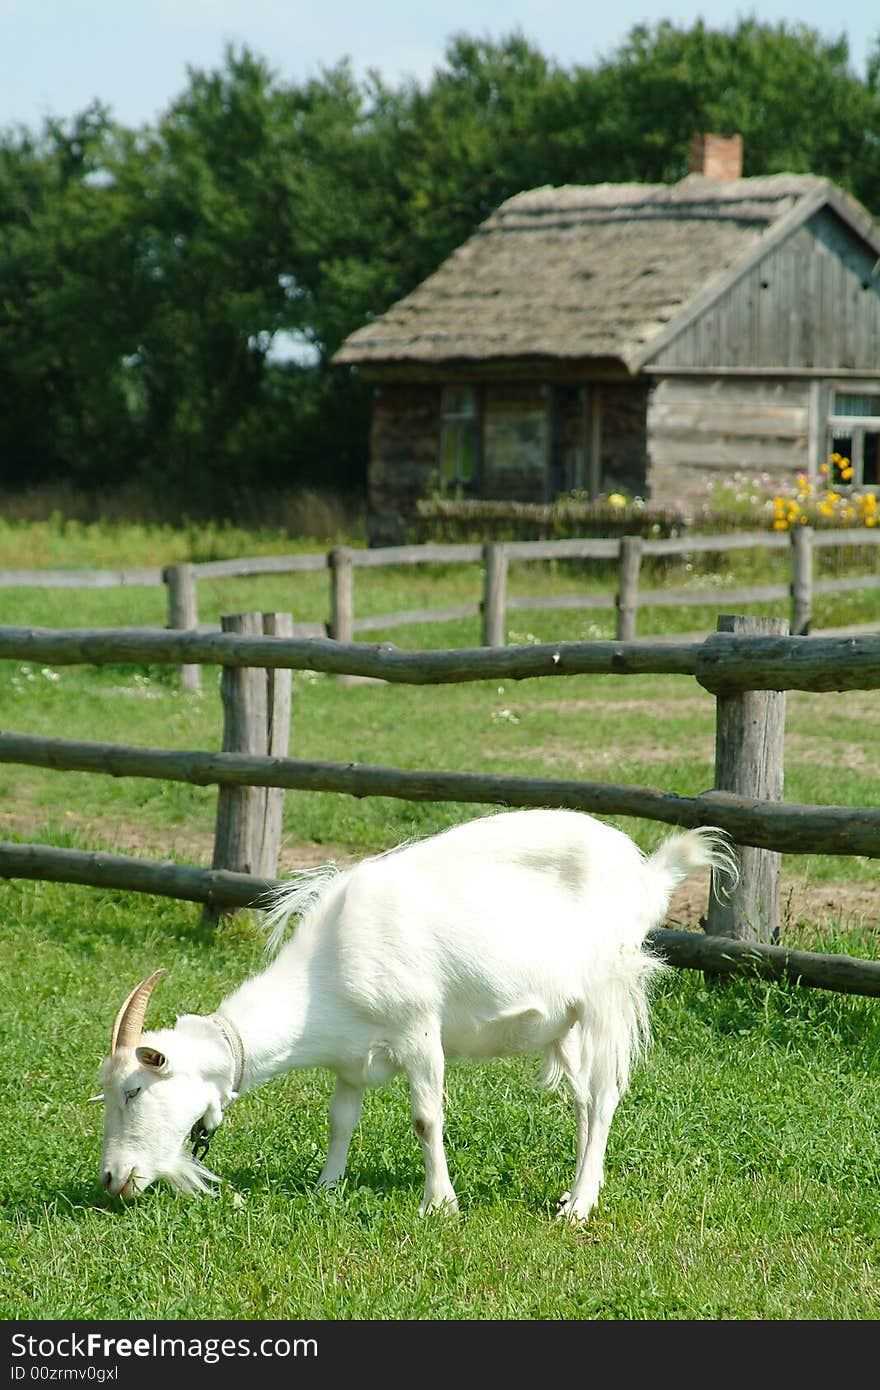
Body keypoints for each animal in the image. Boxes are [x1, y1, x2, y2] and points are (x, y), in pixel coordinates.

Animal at [94, 811, 734, 1223]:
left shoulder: (418, 1029)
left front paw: (439, 1204)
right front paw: (325, 1187)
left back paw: (579, 1206)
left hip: (607, 994)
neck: (325, 969)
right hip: (567, 1021)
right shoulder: (349, 1059)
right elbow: (340, 1119)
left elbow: (427, 1118)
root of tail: (647, 876)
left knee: (603, 1098)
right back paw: (571, 1190)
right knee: (581, 1101)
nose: (110, 1179)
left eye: (133, 1090)